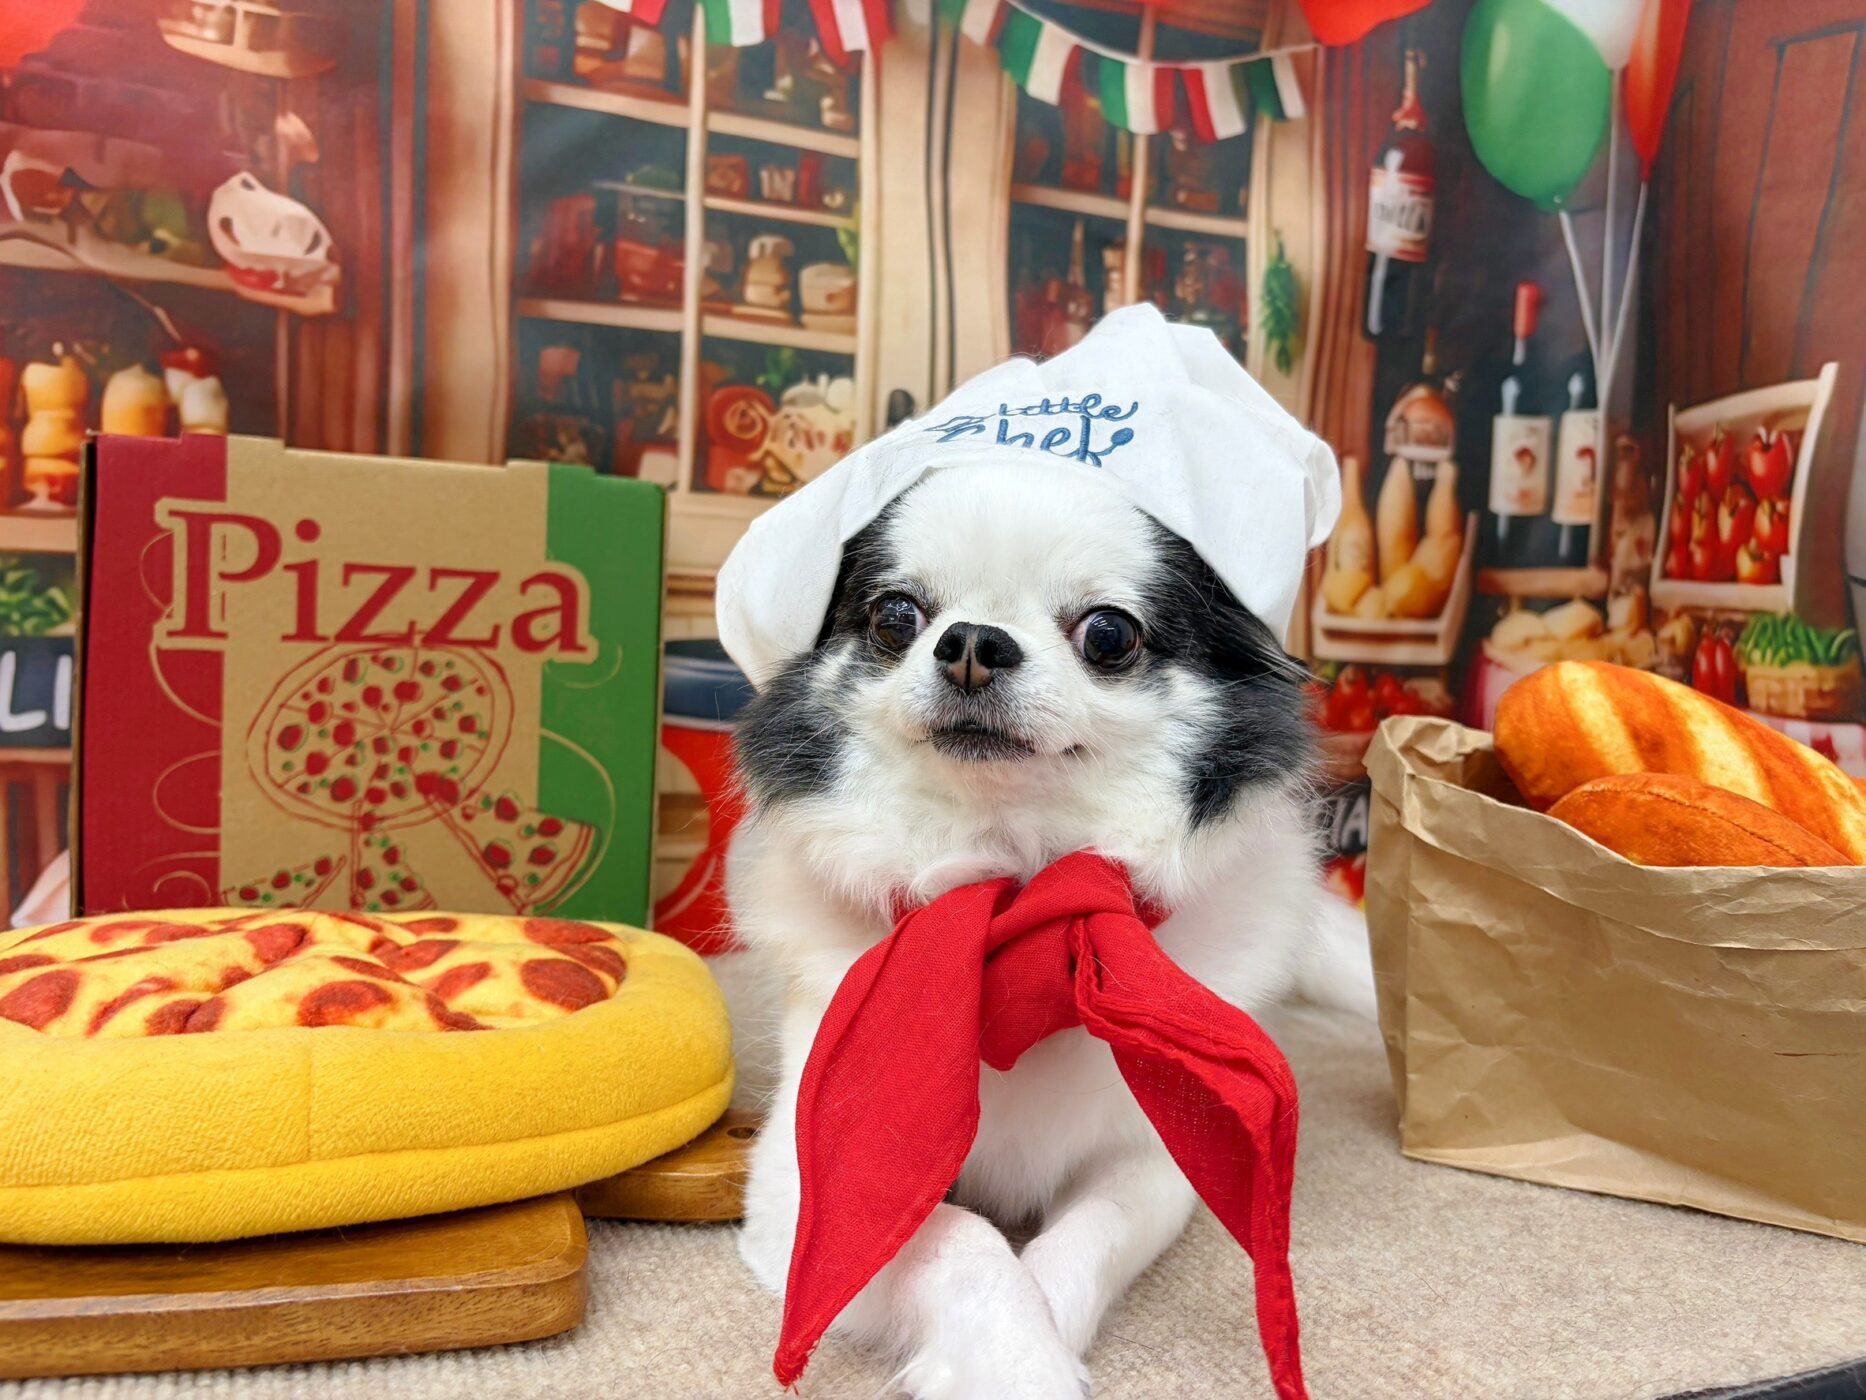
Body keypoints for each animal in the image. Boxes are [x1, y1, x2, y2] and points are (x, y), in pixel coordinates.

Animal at [722, 455, 1372, 1399]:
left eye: (1108, 634)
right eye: (894, 617)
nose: (971, 642)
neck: (1013, 904)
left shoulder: (1151, 1160)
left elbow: (1090, 1232)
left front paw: (1038, 1338)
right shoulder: (803, 1182)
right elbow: (958, 1238)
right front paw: (1014, 1360)